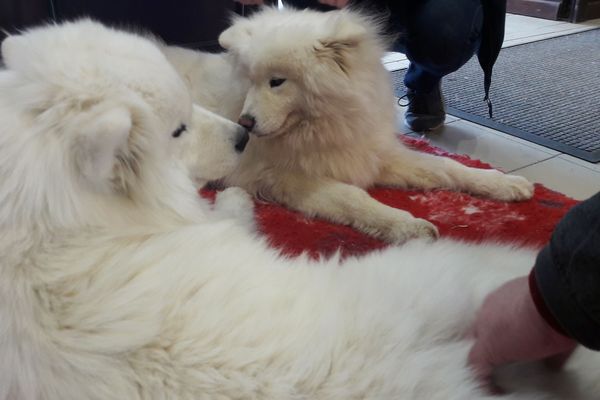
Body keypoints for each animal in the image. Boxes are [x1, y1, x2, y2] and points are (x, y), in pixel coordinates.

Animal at [1, 19, 600, 400]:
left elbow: (445, 171)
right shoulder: (291, 180)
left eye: (277, 81)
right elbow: (355, 199)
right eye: (252, 81)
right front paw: (403, 222)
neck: (320, 127)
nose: (244, 127)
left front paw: (503, 185)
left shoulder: (371, 153)